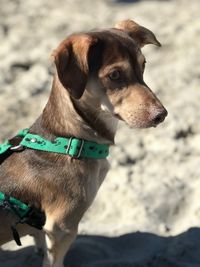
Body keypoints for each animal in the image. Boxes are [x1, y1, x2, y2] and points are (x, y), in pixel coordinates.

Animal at [0, 19, 167, 266]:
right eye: (115, 74)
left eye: (143, 65)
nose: (161, 115)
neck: (69, 140)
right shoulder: (62, 227)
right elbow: (53, 259)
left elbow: (39, 240)